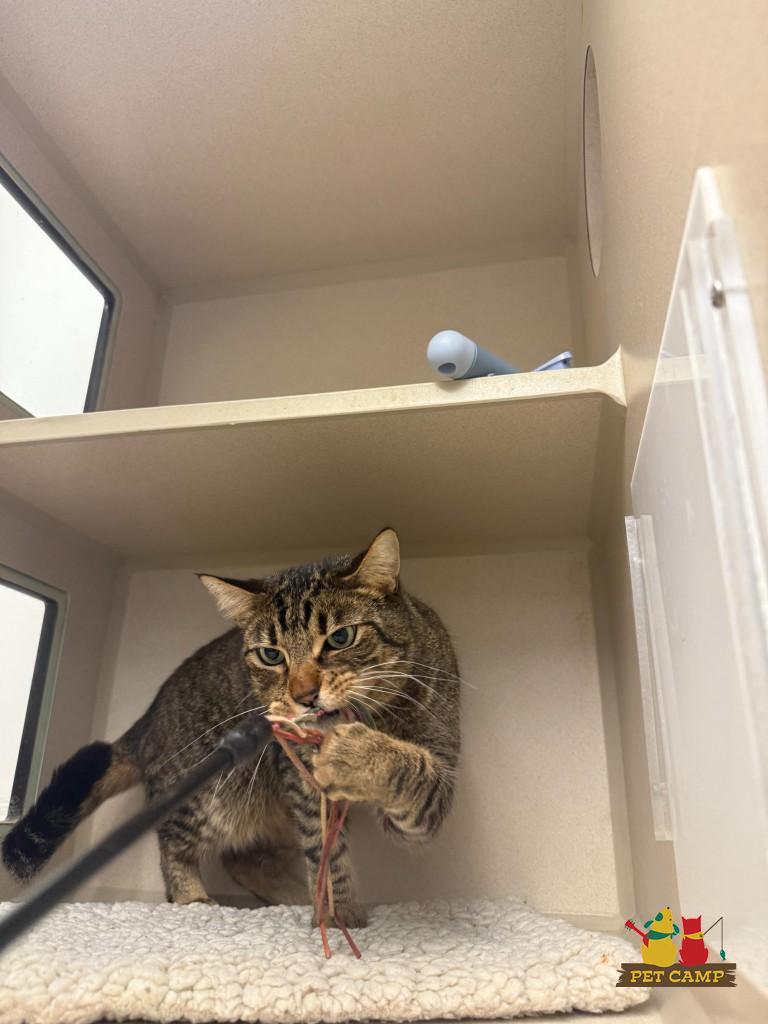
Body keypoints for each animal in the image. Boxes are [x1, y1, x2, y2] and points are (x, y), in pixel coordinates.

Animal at [2, 529, 460, 928]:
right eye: (271, 655)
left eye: (341, 637)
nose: (304, 695)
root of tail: (150, 716)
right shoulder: (303, 786)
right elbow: (327, 856)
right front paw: (340, 915)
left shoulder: (433, 781)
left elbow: (409, 772)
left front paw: (361, 752)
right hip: (206, 794)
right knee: (172, 841)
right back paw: (193, 898)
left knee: (242, 859)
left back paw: (292, 897)